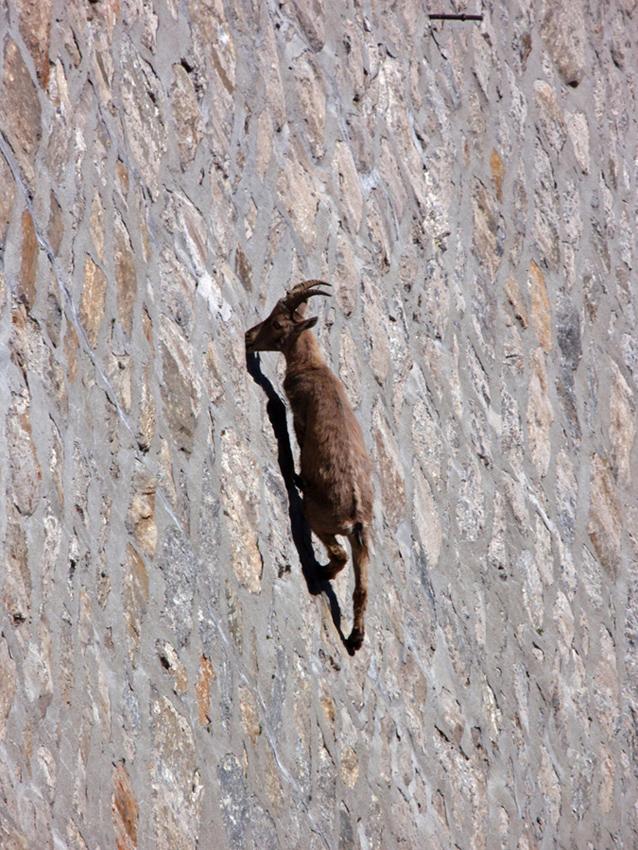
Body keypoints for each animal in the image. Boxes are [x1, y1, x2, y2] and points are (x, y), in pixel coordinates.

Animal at [245, 280, 373, 653]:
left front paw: (299, 476)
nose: (248, 337)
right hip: (364, 545)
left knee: (338, 555)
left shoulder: (299, 413)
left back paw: (319, 573)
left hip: (319, 517)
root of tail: (355, 517)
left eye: (277, 323)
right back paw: (355, 638)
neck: (313, 366)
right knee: (362, 588)